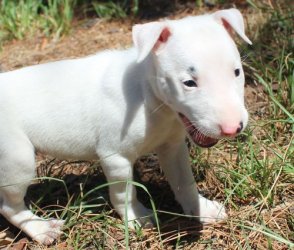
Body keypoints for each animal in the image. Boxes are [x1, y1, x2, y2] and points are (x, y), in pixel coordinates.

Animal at [0, 9, 250, 244]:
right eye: (188, 83)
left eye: (237, 72)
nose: (232, 128)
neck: (148, 95)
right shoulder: (115, 156)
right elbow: (125, 192)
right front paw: (136, 217)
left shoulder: (173, 146)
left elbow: (183, 181)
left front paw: (202, 209)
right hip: (17, 160)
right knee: (10, 207)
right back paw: (41, 229)